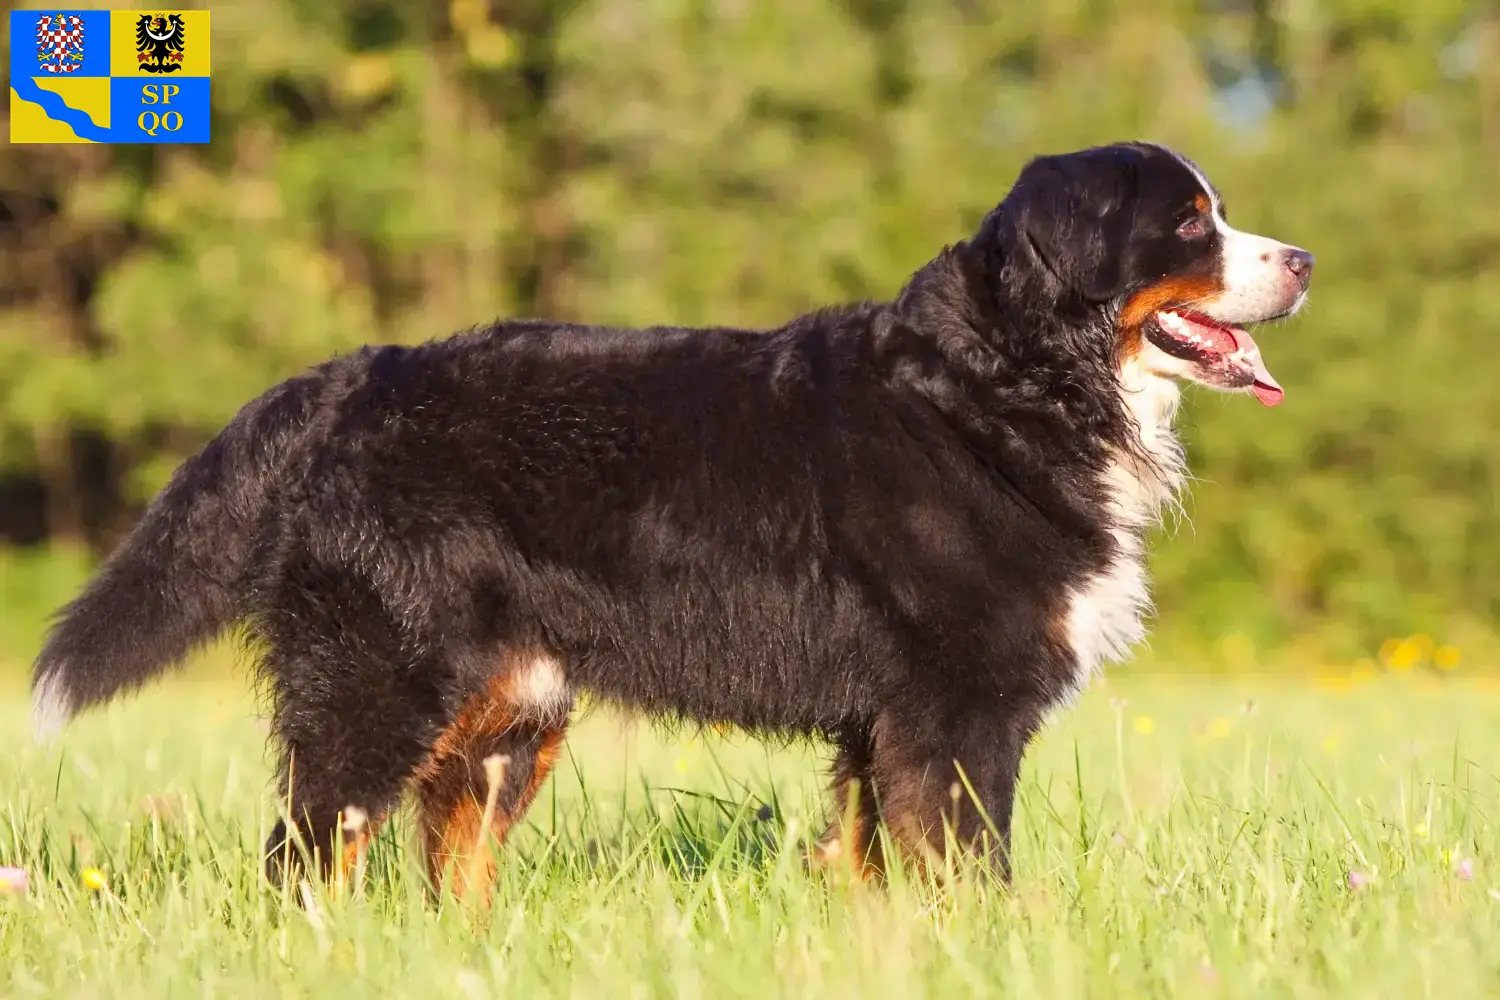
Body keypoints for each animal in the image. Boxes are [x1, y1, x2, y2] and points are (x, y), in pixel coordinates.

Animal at [29, 138, 1308, 893]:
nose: (1300, 257)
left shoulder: (884, 728)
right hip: (374, 687)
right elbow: (972, 873)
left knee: (448, 873)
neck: (1009, 383)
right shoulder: (957, 715)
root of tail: (361, 372)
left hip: (507, 718)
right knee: (305, 857)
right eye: (1189, 224)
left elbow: (880, 877)